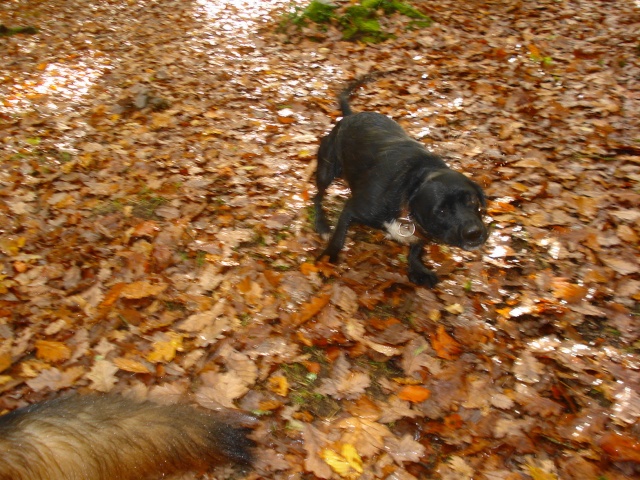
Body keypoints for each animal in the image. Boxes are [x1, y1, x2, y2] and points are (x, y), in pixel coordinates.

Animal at [312, 76, 488, 286]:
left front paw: (418, 268)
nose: (474, 233)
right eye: (441, 211)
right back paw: (322, 223)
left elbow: (417, 248)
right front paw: (328, 258)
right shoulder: (352, 210)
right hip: (327, 170)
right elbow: (338, 238)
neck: (411, 185)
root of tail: (349, 116)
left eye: (472, 200)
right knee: (317, 196)